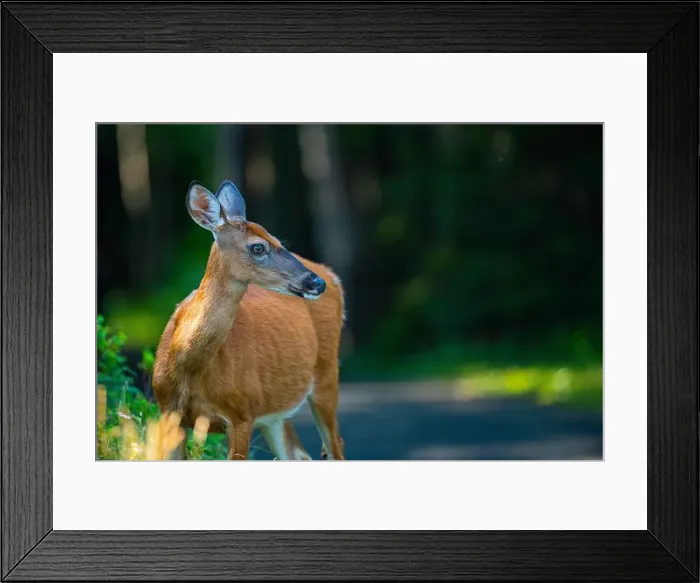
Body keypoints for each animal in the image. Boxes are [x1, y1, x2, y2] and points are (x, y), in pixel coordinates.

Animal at [151, 180, 345, 460]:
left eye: (278, 240)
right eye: (258, 247)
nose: (316, 283)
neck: (190, 367)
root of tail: (332, 274)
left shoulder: (242, 413)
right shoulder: (168, 411)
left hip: (327, 371)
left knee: (335, 445)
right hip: (274, 414)